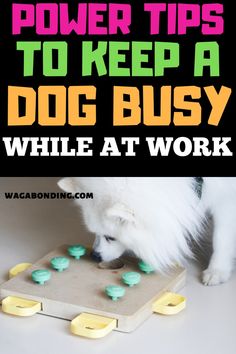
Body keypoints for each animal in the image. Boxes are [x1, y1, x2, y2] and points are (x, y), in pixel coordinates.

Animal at [57, 177, 236, 284]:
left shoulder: (227, 199)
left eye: (111, 237)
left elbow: (221, 238)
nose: (94, 256)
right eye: (94, 233)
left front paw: (217, 270)